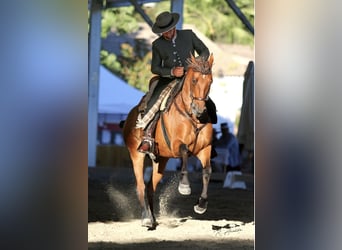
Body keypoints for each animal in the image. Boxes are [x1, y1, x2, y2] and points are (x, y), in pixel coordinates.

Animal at [122, 53, 214, 229]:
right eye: (194, 80)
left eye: (210, 81)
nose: (199, 109)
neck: (192, 117)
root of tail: (129, 118)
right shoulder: (176, 145)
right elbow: (184, 152)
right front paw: (184, 186)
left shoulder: (205, 149)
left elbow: (207, 172)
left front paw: (201, 204)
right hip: (136, 155)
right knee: (141, 186)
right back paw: (146, 219)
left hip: (161, 160)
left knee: (150, 187)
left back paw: (152, 218)